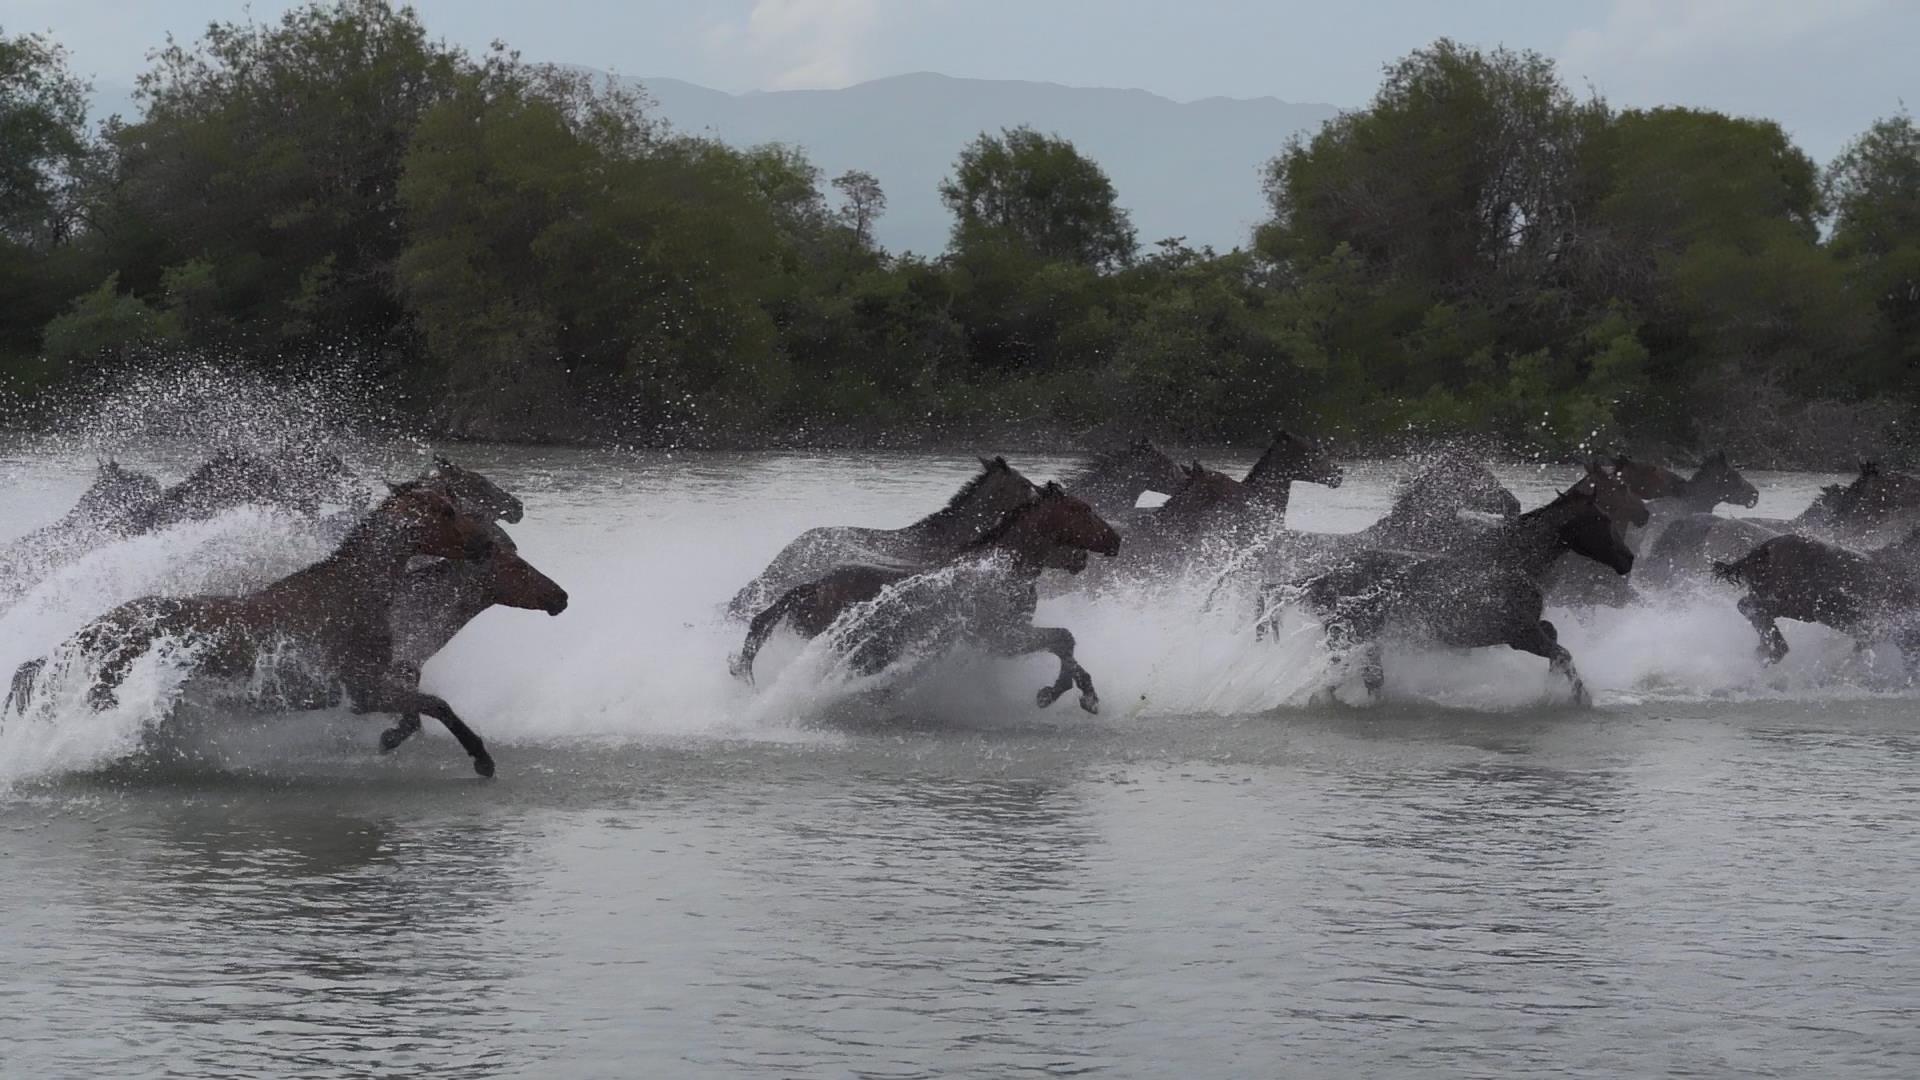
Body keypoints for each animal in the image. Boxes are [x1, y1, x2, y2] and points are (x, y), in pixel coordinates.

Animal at [11, 486, 506, 772]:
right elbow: (436, 705)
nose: (486, 545)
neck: (349, 594)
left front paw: (390, 740)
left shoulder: (374, 685)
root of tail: (96, 628)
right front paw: (481, 759)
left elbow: (418, 709)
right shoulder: (362, 689)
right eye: (446, 512)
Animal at [733, 484, 1121, 711]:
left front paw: (1078, 692)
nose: (1115, 540)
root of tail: (810, 587)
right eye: (1084, 509)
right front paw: (1060, 692)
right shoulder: (1000, 637)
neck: (1004, 566)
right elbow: (1063, 639)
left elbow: (1065, 644)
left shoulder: (1003, 636)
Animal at [1274, 474, 1635, 703]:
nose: (1627, 559)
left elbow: (1557, 642)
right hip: (1354, 634)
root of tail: (1325, 576)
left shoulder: (1528, 629)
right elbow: (1563, 653)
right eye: (1601, 519)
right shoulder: (1519, 634)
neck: (1511, 561)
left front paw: (1554, 690)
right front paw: (1578, 698)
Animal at [1720, 526, 1920, 668]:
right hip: (1795, 605)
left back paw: (1764, 651)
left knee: (1751, 610)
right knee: (1750, 607)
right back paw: (1776, 651)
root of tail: (1763, 550)